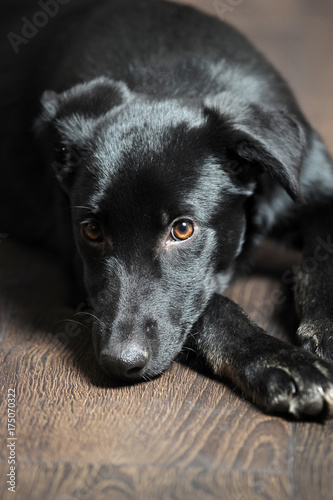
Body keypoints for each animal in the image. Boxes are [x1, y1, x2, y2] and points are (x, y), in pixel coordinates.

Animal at [0, 0, 332, 418]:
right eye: (91, 230)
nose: (118, 363)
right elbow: (210, 305)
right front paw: (277, 358)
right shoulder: (79, 268)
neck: (169, 77)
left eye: (183, 229)